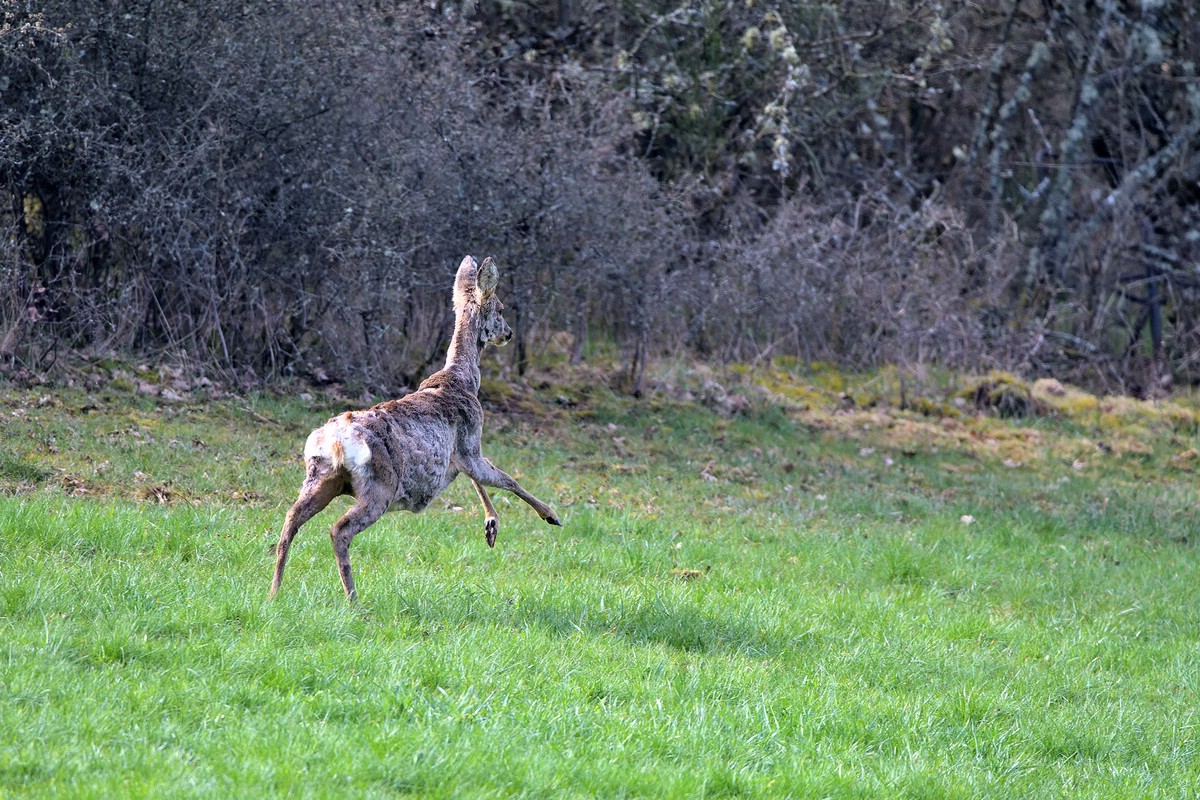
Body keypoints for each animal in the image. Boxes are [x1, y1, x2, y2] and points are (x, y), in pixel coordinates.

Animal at [269, 255, 561, 601]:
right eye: (501, 309)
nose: (509, 333)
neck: (462, 380)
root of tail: (336, 441)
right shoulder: (470, 439)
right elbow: (504, 478)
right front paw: (549, 515)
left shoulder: (457, 455)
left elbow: (478, 477)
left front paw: (491, 526)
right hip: (380, 486)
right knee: (339, 530)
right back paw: (352, 599)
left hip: (321, 478)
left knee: (290, 520)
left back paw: (274, 591)